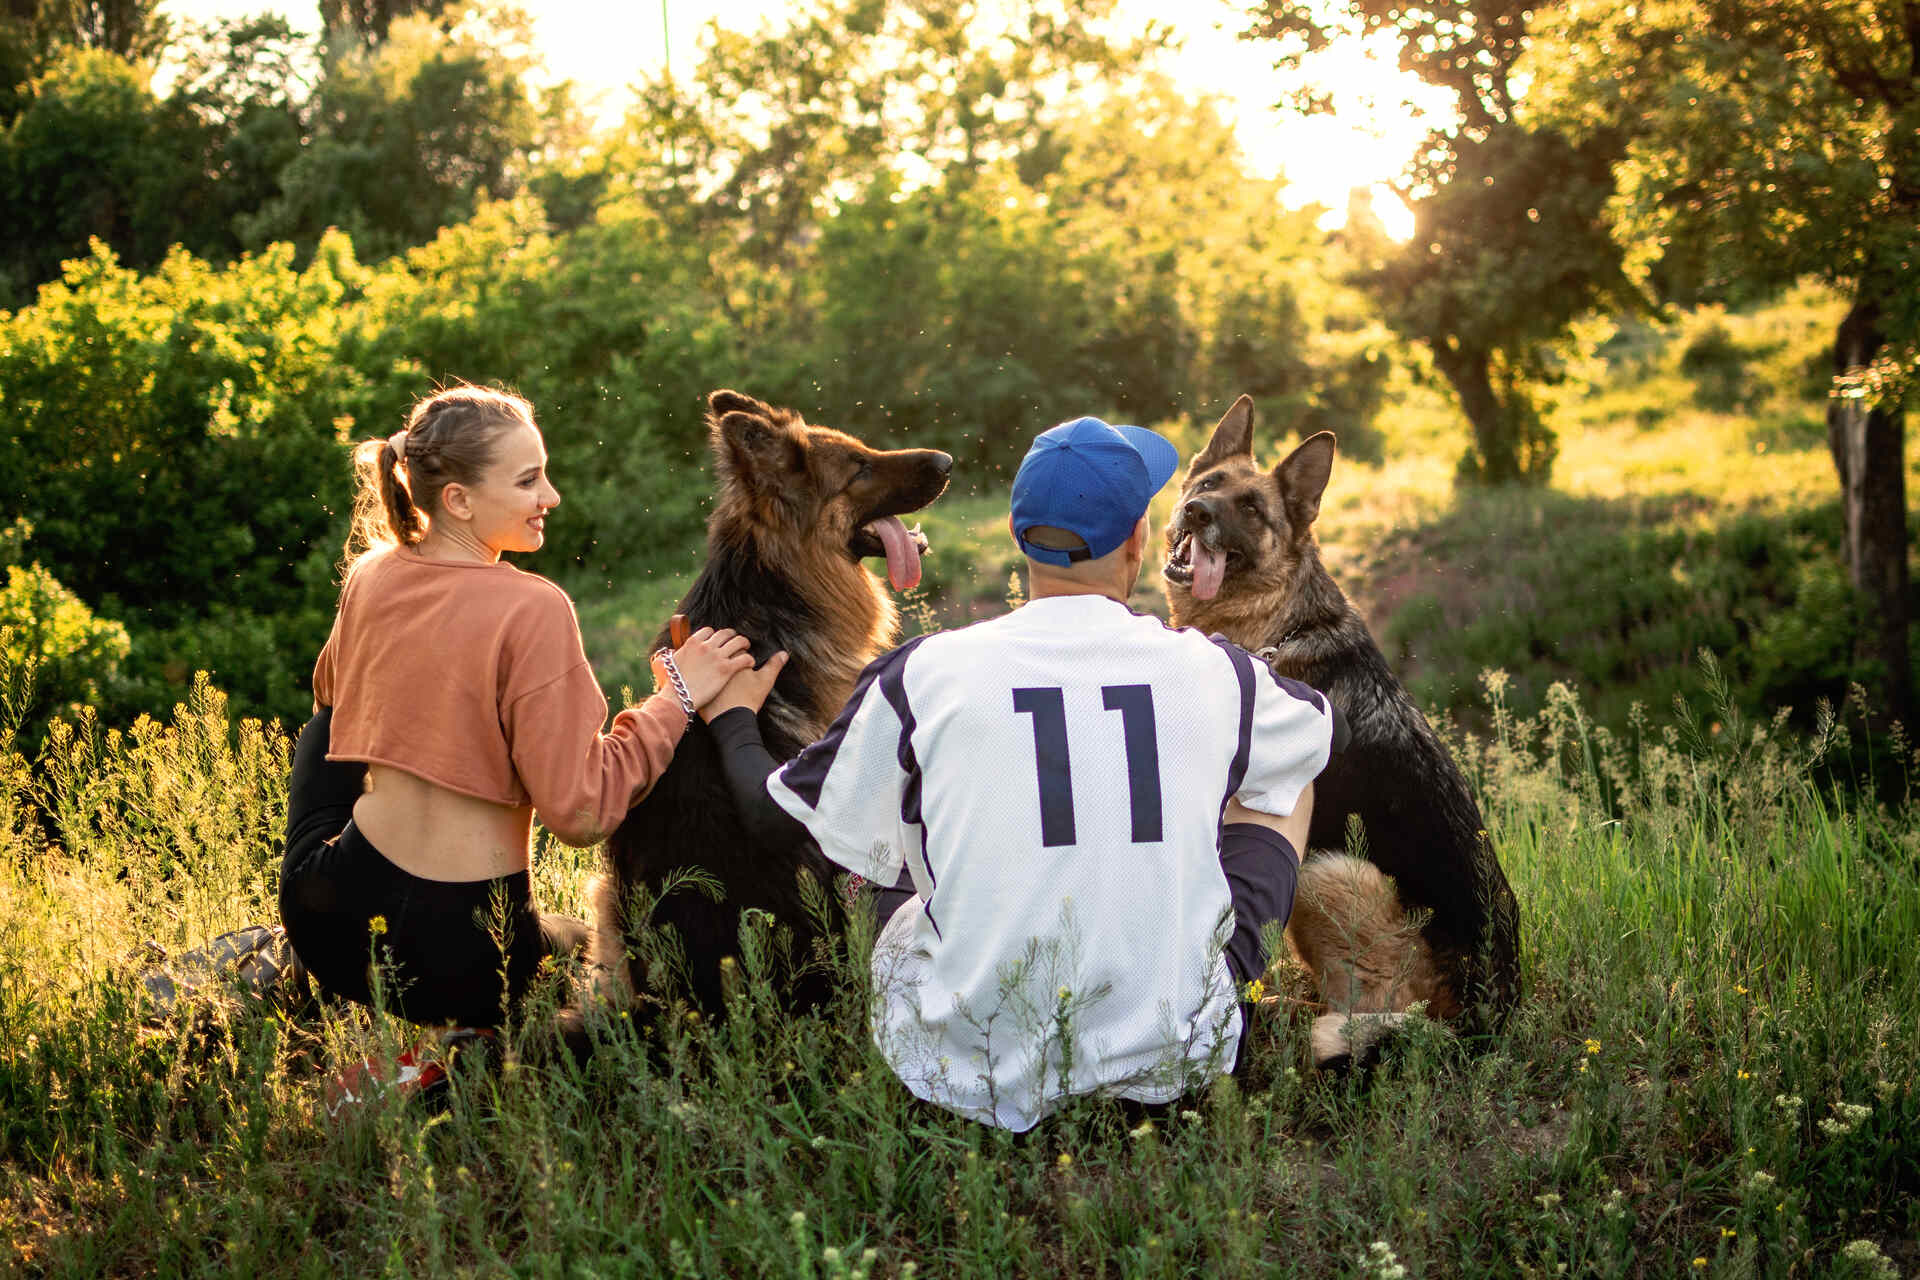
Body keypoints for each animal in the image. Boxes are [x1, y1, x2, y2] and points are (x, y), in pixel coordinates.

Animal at [1159, 395, 1520, 1066]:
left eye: (1252, 510)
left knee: (1356, 1010)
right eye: (1208, 484)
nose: (1197, 511)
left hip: (1329, 871)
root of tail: (1487, 1018)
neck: (1276, 621)